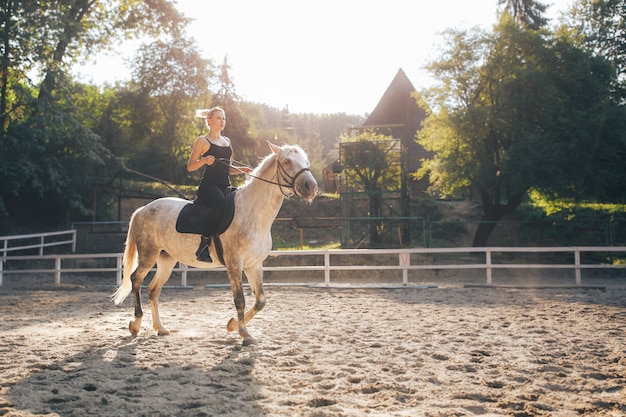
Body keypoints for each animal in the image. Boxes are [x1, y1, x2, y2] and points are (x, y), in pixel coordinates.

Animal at [111, 142, 316, 344]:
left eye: (307, 161)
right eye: (287, 161)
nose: (311, 186)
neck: (253, 213)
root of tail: (144, 209)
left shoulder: (254, 265)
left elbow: (260, 301)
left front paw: (232, 325)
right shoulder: (234, 264)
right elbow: (240, 299)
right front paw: (244, 333)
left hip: (166, 260)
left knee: (153, 290)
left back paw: (160, 328)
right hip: (148, 255)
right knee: (136, 280)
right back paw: (136, 325)